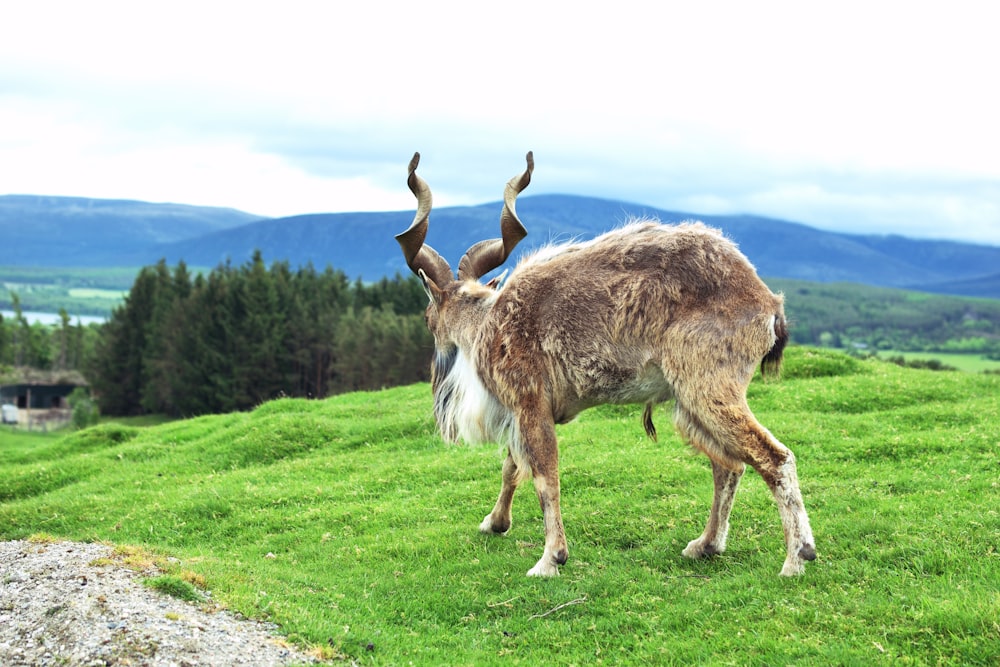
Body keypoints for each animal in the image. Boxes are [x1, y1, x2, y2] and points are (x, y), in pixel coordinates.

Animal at [394, 154, 816, 576]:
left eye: (428, 315)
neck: (487, 323)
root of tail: (767, 302)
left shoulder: (529, 403)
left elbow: (545, 476)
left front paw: (550, 559)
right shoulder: (525, 410)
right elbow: (512, 466)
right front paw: (494, 523)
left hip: (709, 389)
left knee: (774, 459)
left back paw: (797, 557)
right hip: (690, 405)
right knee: (728, 466)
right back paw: (705, 544)